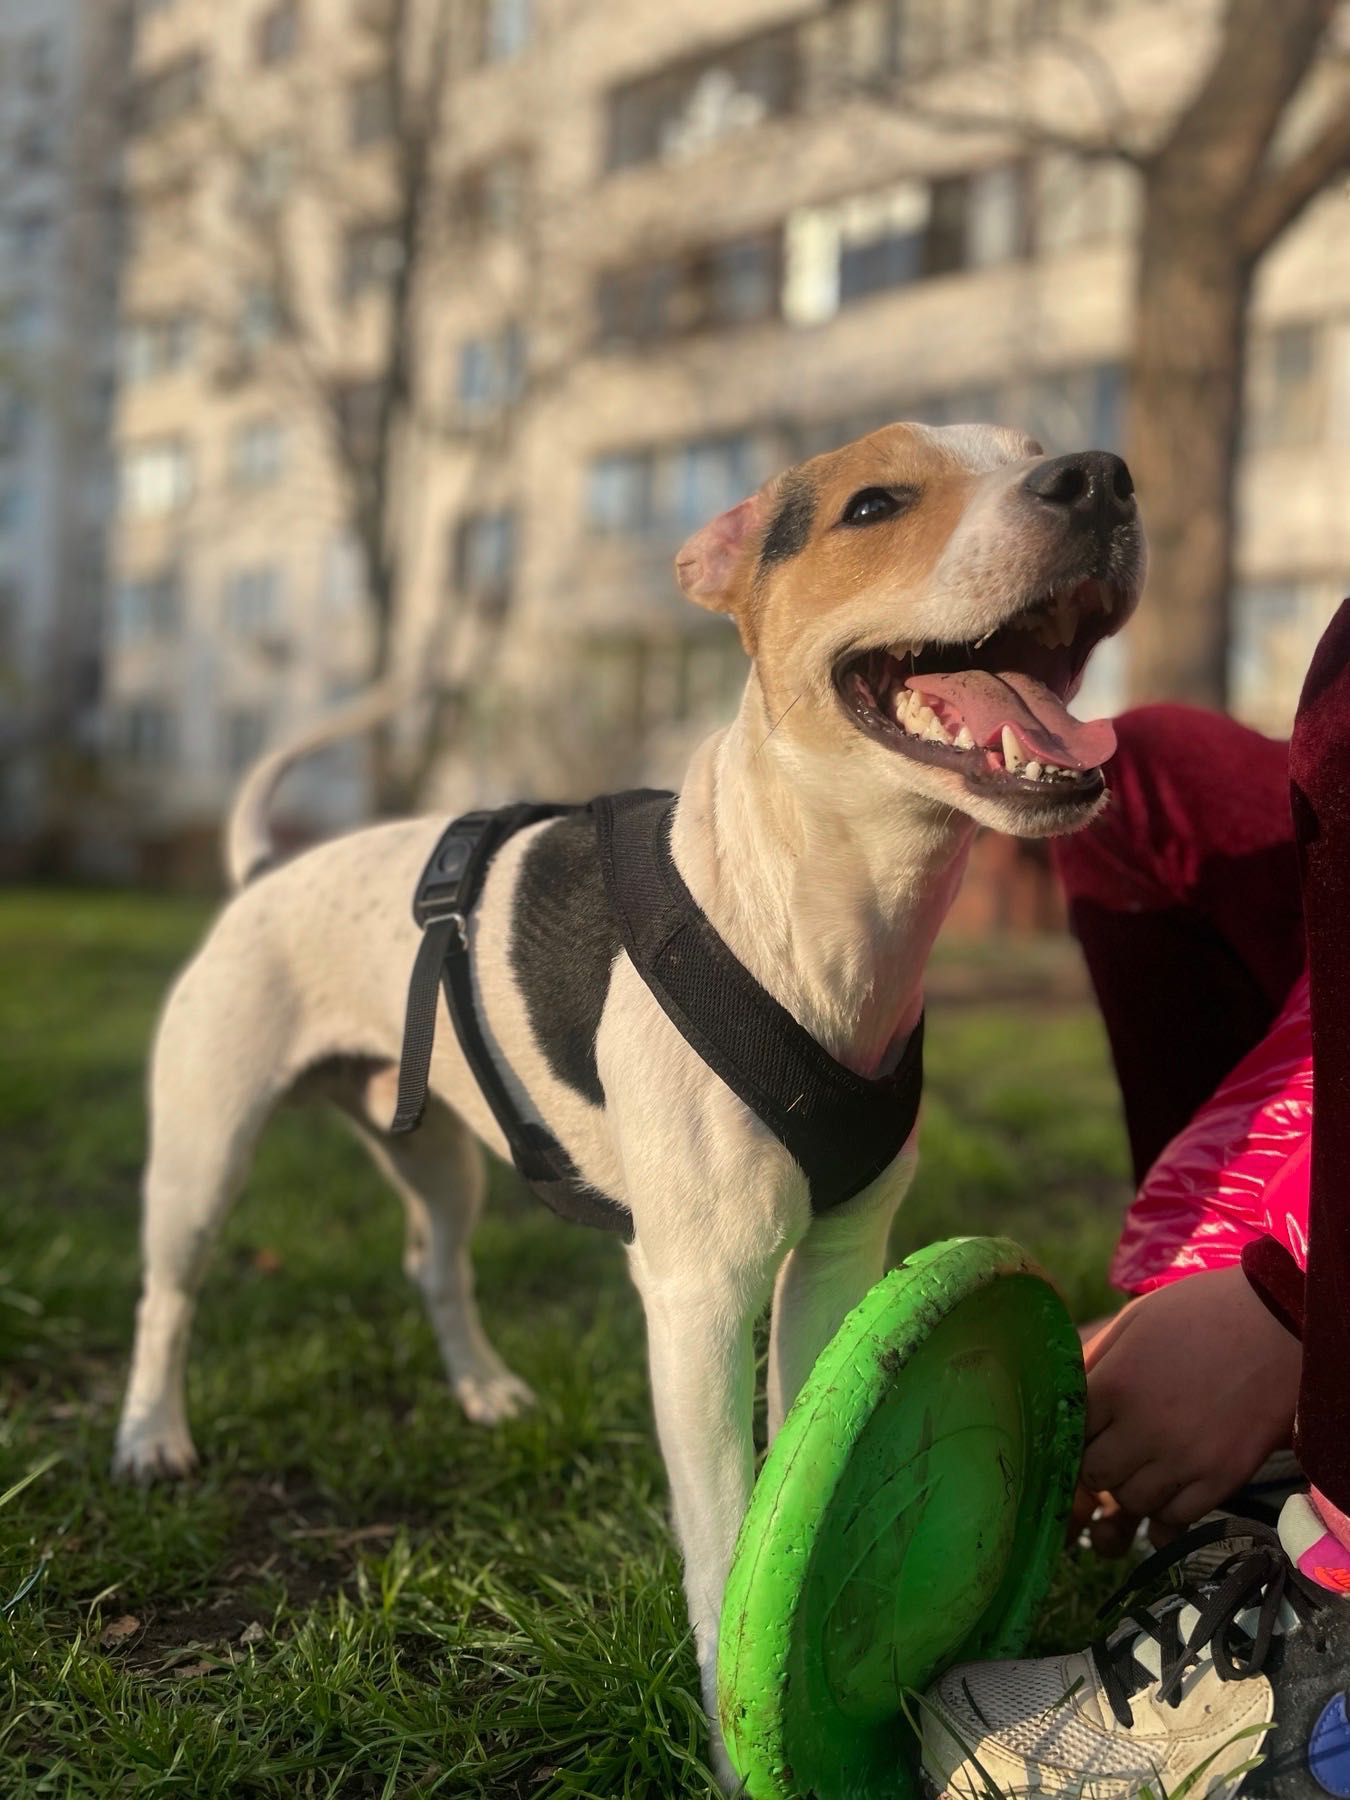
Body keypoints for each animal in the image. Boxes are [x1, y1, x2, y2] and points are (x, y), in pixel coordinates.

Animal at [118, 417, 1152, 1771]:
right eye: (874, 504)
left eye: (1037, 448)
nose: (1099, 477)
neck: (819, 912)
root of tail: (258, 875)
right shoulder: (698, 1295)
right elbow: (723, 1534)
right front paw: (732, 1724)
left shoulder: (836, 1259)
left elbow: (799, 1446)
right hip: (206, 1150)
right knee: (171, 1295)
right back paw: (149, 1436)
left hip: (438, 1158)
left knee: (433, 1260)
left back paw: (484, 1387)